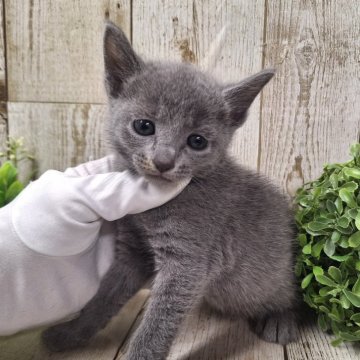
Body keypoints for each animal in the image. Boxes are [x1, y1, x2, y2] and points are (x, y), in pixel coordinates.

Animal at [43, 21, 298, 358]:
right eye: (144, 126)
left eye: (197, 141)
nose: (164, 161)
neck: (149, 212)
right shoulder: (133, 250)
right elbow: (105, 297)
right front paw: (70, 333)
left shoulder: (188, 262)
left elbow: (157, 324)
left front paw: (138, 352)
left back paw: (281, 319)